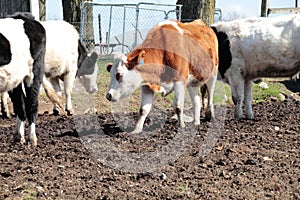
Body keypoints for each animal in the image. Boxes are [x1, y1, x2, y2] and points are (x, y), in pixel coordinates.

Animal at [0, 13, 46, 146]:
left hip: (35, 73)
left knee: (31, 103)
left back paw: (32, 139)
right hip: (14, 79)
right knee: (20, 104)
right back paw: (18, 136)